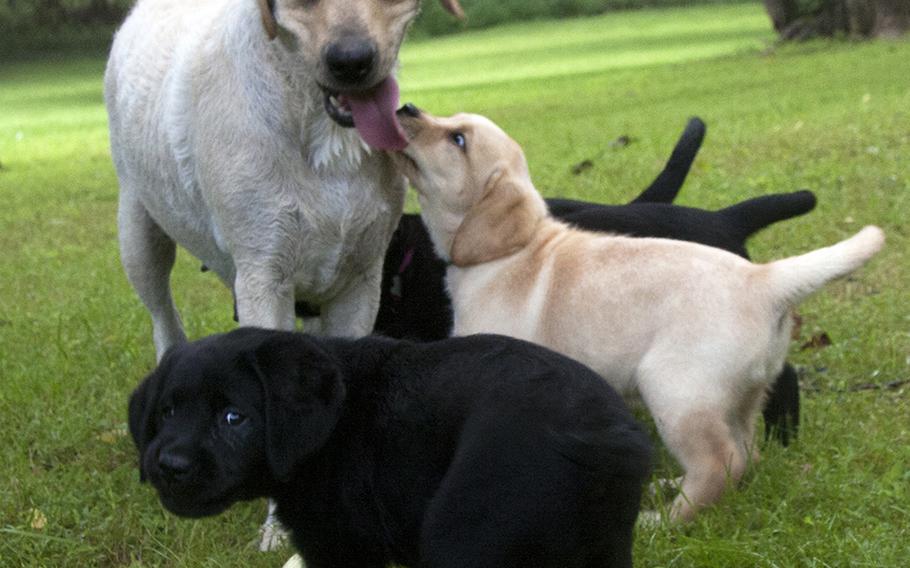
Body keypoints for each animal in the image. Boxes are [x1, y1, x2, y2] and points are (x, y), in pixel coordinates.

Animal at [130, 328, 656, 568]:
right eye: (166, 412)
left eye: (233, 418)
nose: (169, 465)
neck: (330, 430)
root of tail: (609, 435)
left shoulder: (339, 547)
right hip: (605, 550)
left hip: (465, 538)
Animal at [392, 104, 884, 520]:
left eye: (457, 139)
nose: (405, 107)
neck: (511, 250)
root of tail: (763, 280)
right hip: (741, 395)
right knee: (745, 455)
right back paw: (674, 487)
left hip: (677, 391)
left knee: (719, 463)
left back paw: (663, 521)